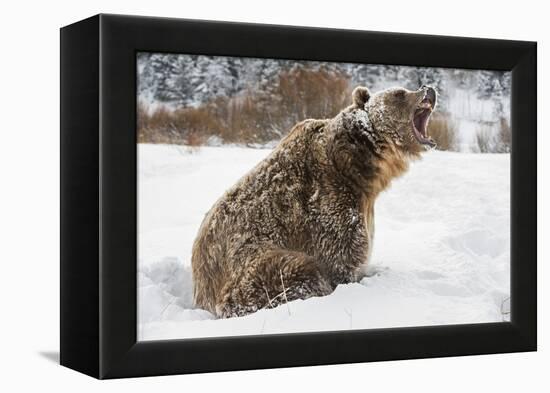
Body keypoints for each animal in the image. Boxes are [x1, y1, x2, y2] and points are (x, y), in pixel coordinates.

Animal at [192, 84, 438, 316]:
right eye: (400, 93)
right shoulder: (327, 202)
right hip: (249, 264)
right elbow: (341, 257)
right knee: (298, 271)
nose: (428, 89)